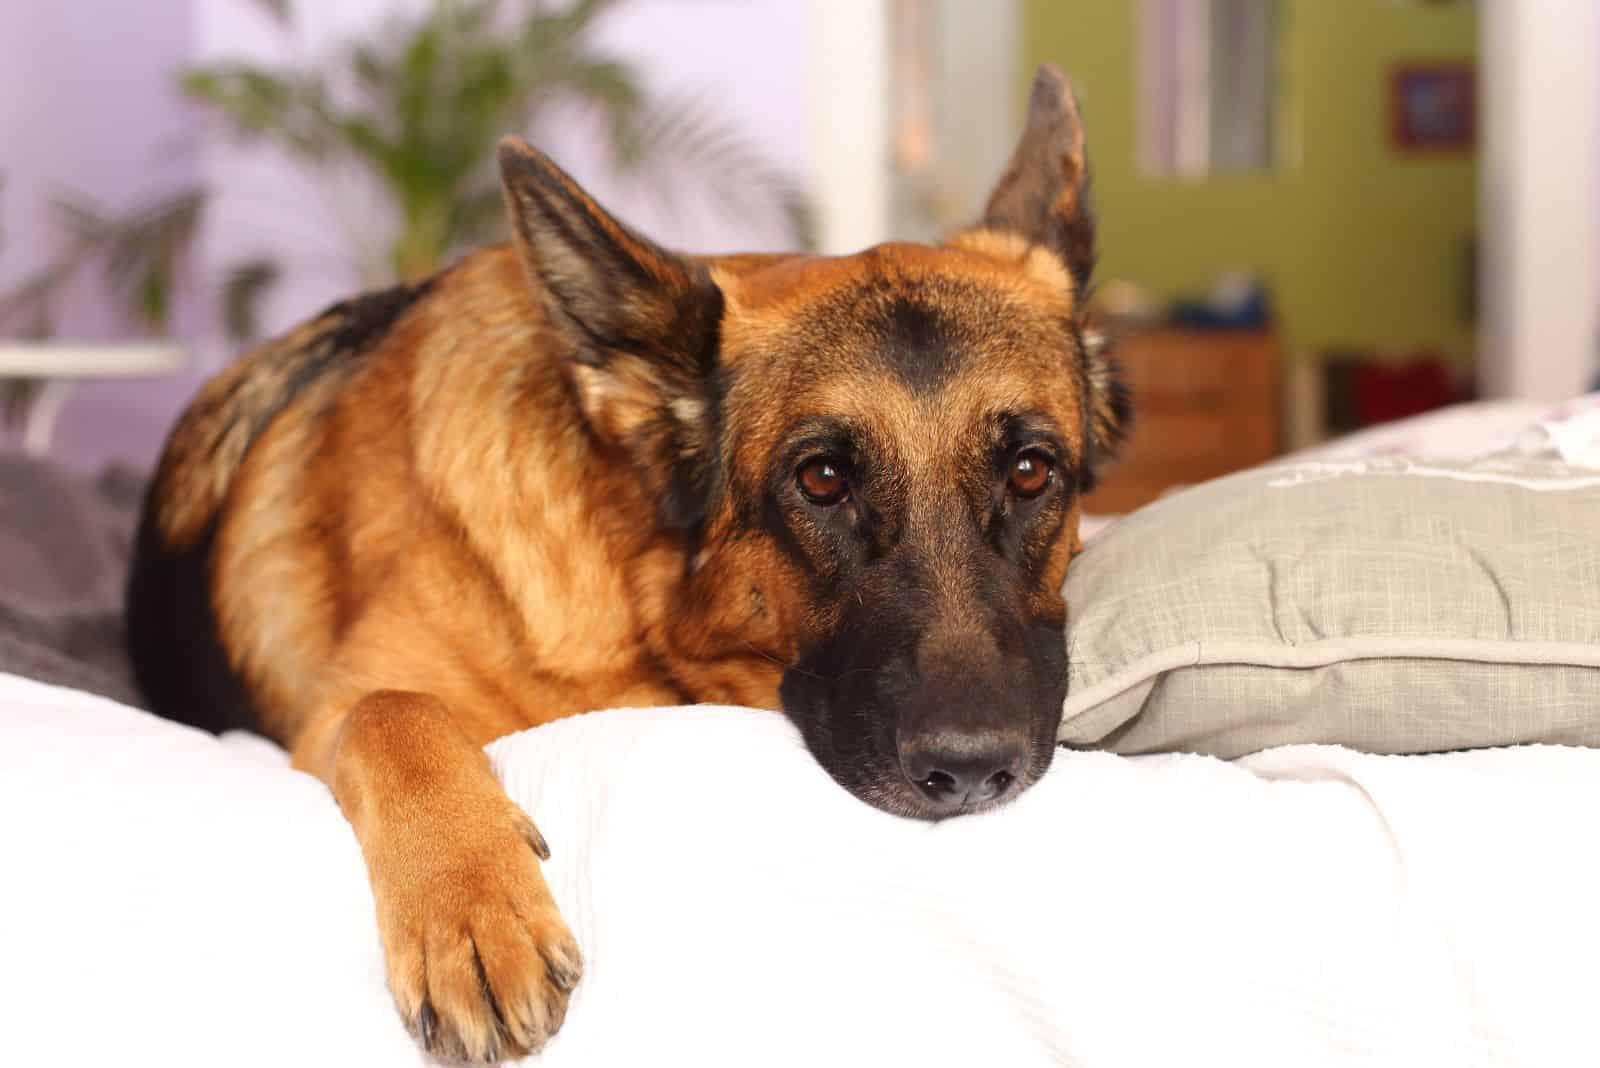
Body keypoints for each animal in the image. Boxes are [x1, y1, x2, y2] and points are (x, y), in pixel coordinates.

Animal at [128, 66, 1126, 1061]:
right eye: (823, 479)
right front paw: (470, 911)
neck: (636, 607)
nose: (971, 773)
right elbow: (396, 714)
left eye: (1031, 471)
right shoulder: (330, 717)